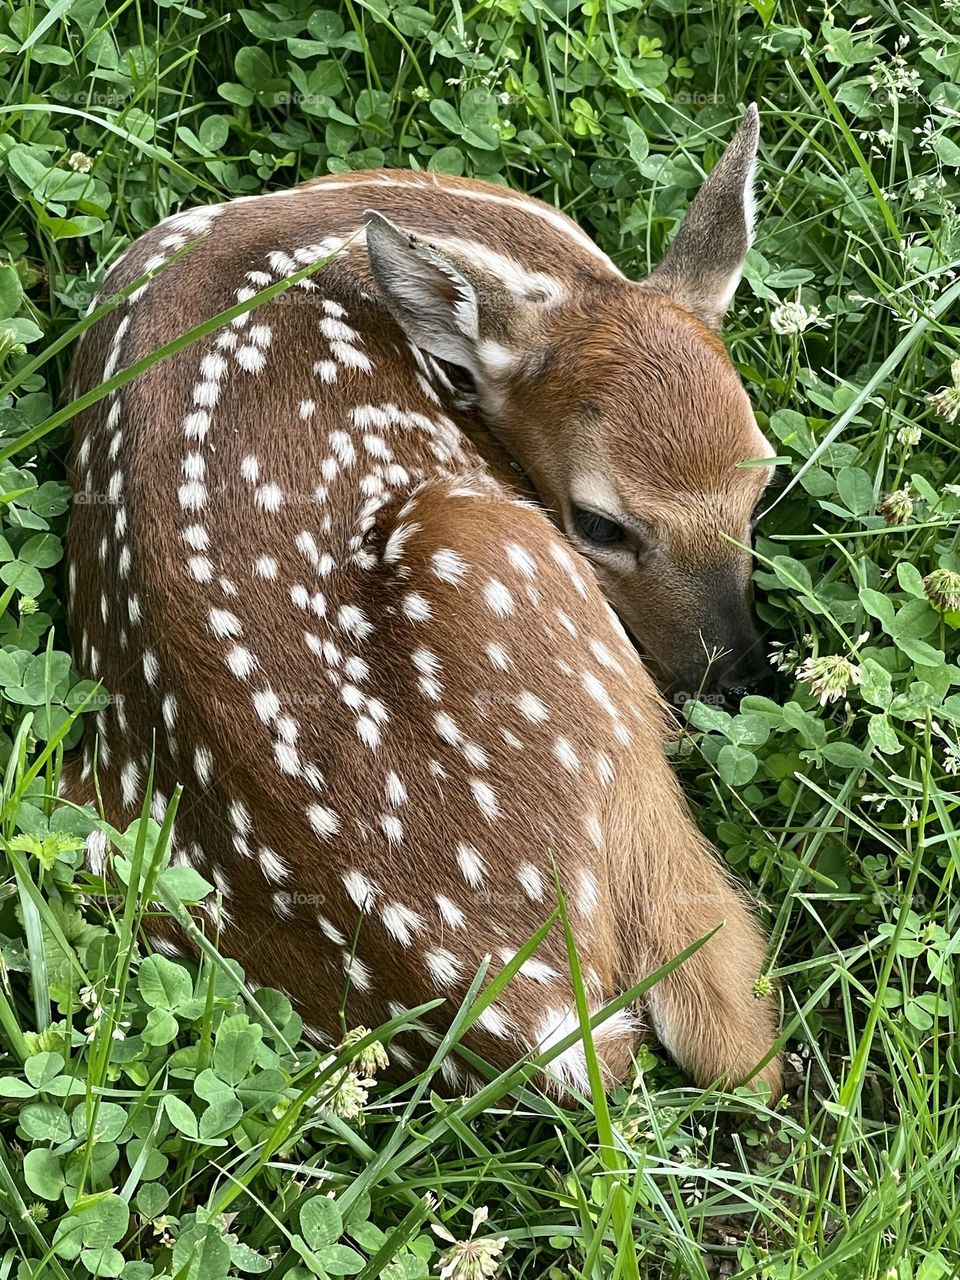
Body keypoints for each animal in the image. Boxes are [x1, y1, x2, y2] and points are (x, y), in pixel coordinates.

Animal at [62, 105, 782, 1098]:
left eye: (766, 476)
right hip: (503, 561)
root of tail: (529, 1018)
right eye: (600, 523)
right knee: (735, 1037)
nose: (737, 675)